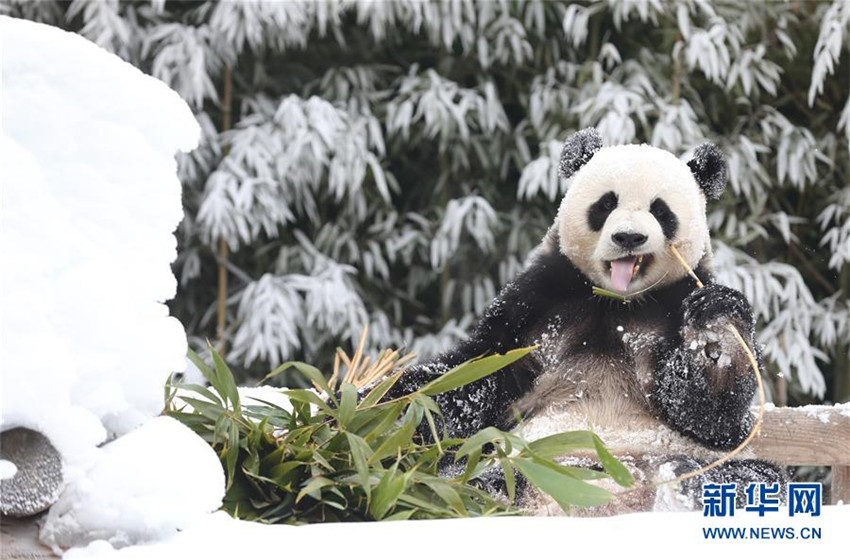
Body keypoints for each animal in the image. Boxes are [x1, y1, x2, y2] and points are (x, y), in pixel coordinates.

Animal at [386, 128, 785, 514]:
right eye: (606, 204)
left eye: (660, 210)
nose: (629, 237)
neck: (619, 301)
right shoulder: (540, 300)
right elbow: (477, 375)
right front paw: (390, 405)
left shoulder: (677, 298)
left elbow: (707, 415)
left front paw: (716, 335)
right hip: (511, 453)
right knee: (463, 473)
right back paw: (484, 489)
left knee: (750, 476)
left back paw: (681, 484)